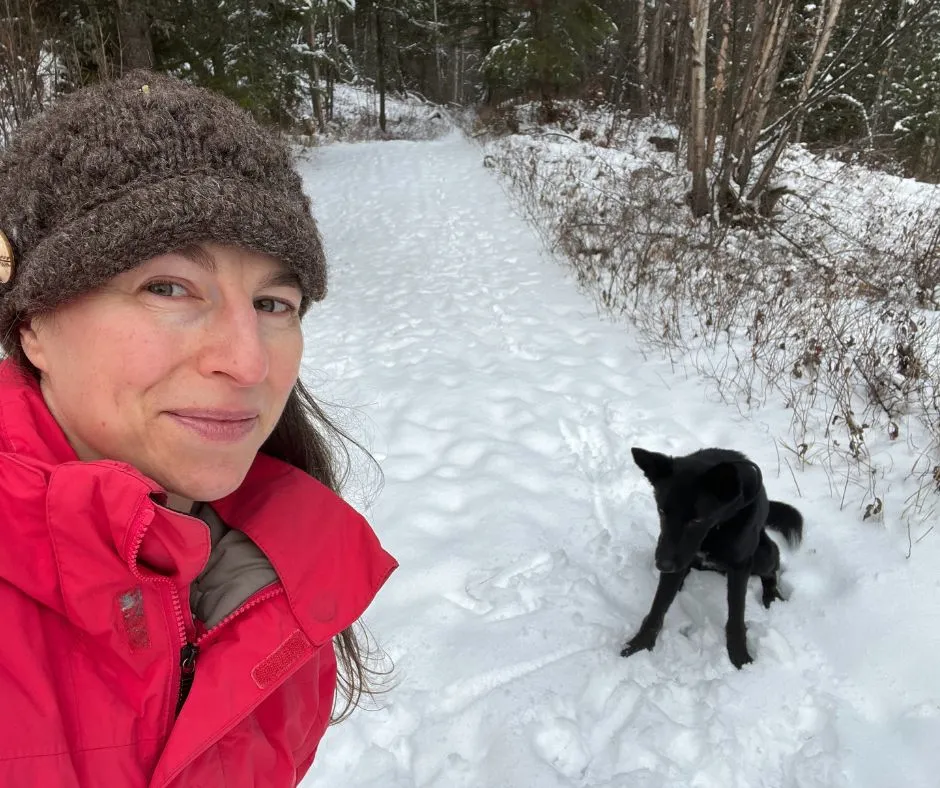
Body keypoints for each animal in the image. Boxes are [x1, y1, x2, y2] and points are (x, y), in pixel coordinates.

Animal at [624, 446, 800, 668]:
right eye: (661, 511)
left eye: (697, 520)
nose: (662, 565)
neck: (716, 527)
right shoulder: (677, 557)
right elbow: (659, 605)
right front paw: (640, 643)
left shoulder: (740, 566)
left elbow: (736, 615)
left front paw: (740, 655)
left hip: (763, 555)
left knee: (774, 562)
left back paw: (772, 595)